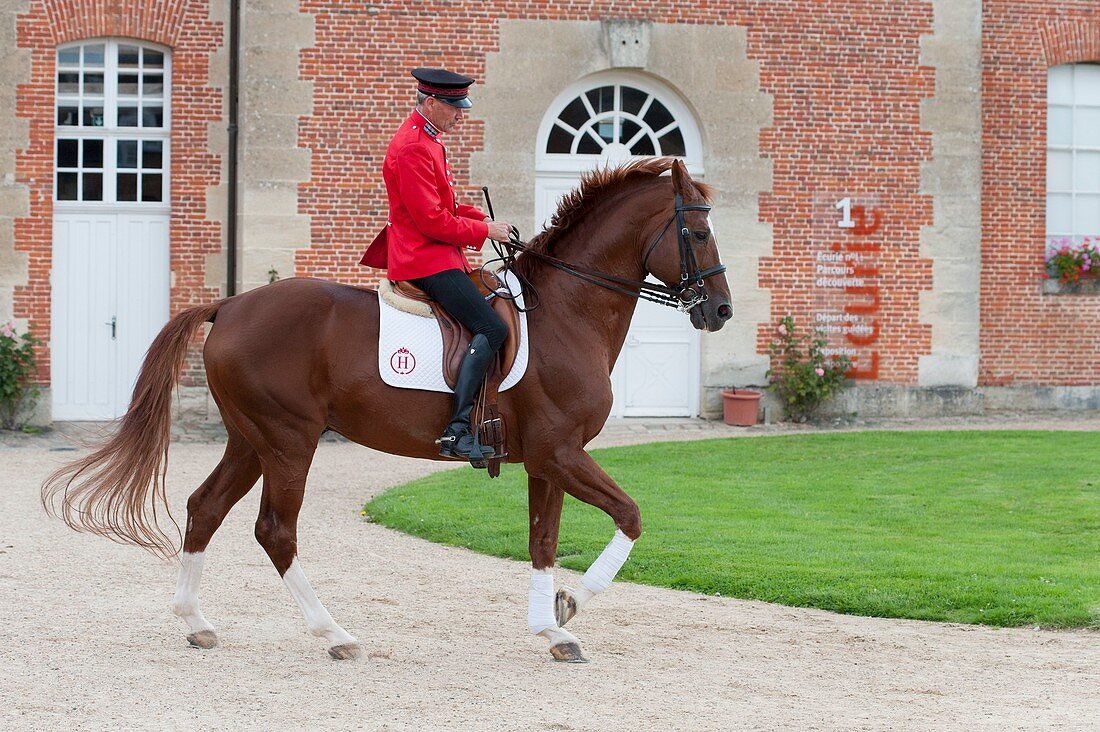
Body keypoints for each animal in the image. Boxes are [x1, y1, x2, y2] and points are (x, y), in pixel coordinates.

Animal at [40, 158, 730, 660]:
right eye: (697, 232)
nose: (720, 311)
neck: (568, 310)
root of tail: (229, 305)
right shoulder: (561, 452)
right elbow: (630, 516)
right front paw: (571, 606)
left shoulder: (546, 460)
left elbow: (542, 541)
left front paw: (552, 627)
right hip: (289, 441)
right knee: (275, 530)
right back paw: (335, 634)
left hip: (249, 440)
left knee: (204, 508)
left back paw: (196, 622)